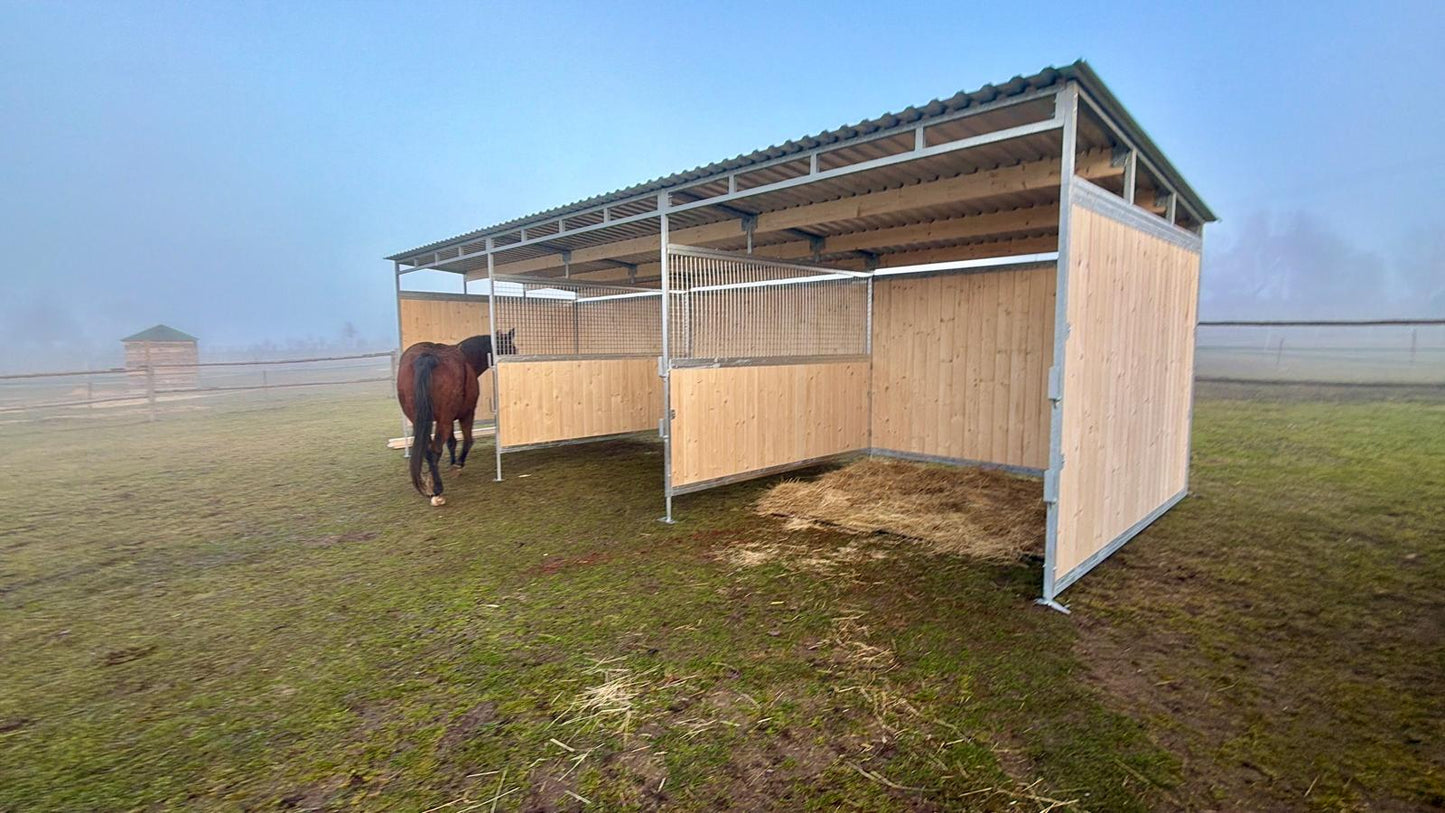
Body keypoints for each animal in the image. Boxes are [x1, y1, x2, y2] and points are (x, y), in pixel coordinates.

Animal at [396, 329, 516, 506]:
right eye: (510, 347)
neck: (466, 358)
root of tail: (427, 356)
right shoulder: (466, 414)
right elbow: (467, 441)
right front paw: (458, 464)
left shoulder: (447, 420)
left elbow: (451, 442)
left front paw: (450, 463)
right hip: (445, 419)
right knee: (435, 450)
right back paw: (437, 490)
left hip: (421, 420)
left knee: (428, 449)